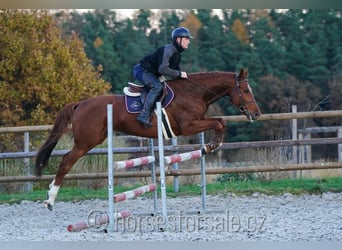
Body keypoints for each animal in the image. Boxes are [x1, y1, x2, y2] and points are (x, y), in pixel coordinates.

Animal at [34, 68, 260, 209]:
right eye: (245, 90)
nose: (256, 114)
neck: (193, 92)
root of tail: (80, 104)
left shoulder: (197, 122)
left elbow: (220, 121)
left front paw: (210, 146)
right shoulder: (187, 126)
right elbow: (219, 123)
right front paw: (212, 145)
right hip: (86, 142)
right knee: (66, 161)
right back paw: (50, 200)